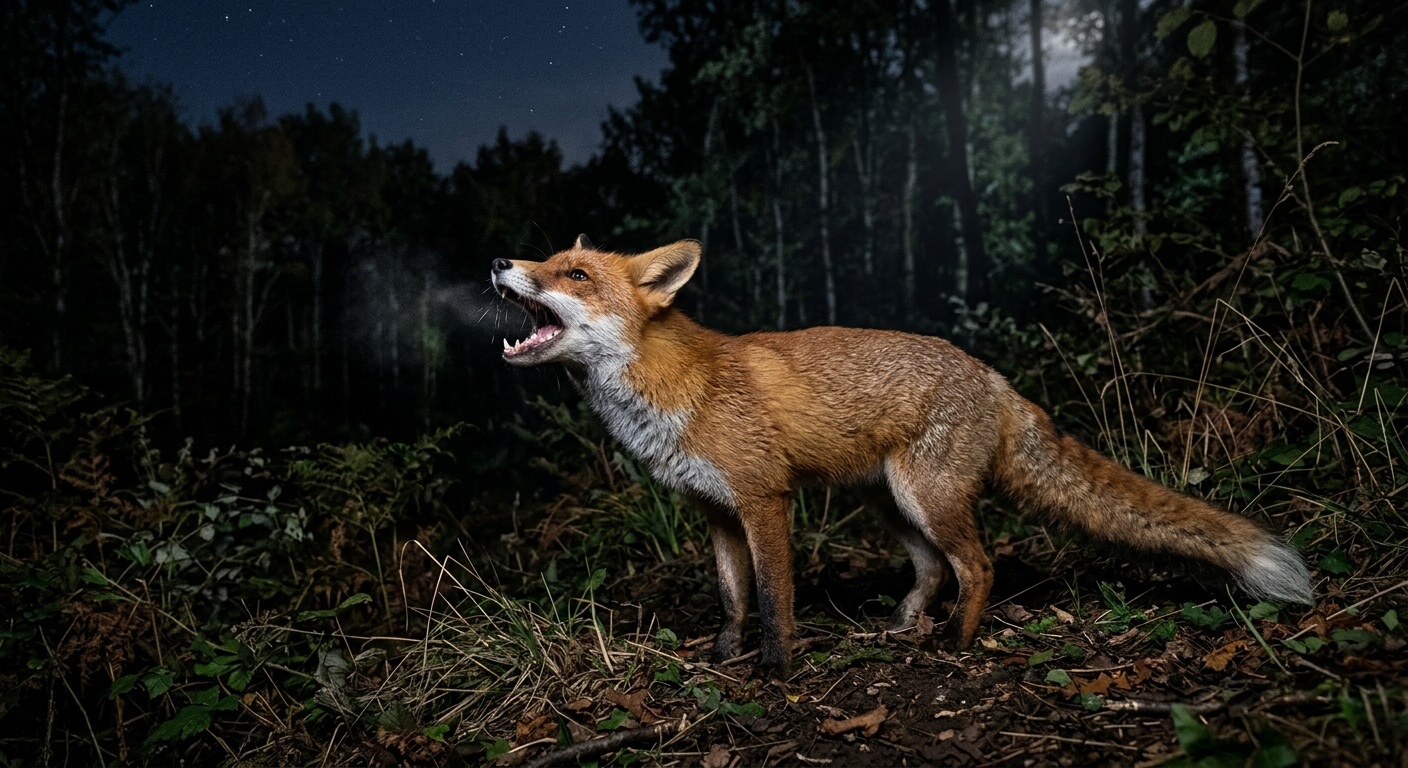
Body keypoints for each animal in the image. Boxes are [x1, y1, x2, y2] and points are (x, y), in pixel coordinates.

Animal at [490, 236, 1314, 675]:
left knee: (979, 565)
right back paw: (910, 624)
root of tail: (994, 377)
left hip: (928, 497)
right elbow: (731, 598)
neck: (668, 389)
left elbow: (773, 598)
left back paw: (958, 640)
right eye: (547, 260)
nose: (499, 262)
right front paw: (725, 656)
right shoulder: (714, 511)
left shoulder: (763, 499)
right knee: (932, 569)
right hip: (889, 504)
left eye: (575, 275)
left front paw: (777, 668)